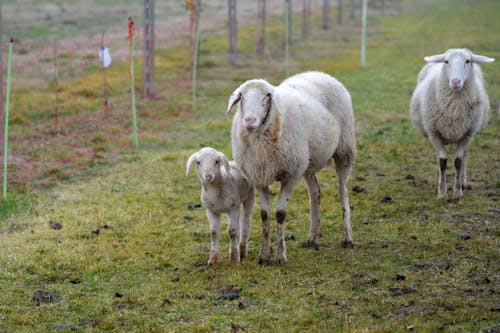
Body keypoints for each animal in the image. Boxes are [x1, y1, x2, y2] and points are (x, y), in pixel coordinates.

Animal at [225, 70, 358, 264]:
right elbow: (265, 214)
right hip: (307, 162)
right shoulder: (259, 176)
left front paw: (280, 255)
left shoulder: (291, 175)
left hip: (344, 149)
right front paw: (264, 256)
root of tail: (321, 73)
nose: (249, 121)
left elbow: (280, 213)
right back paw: (313, 237)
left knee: (343, 192)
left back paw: (347, 237)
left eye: (267, 96)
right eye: (241, 96)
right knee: (315, 192)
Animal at [408, 48, 494, 198]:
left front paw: (458, 192)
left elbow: (458, 161)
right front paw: (442, 193)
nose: (455, 82)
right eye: (446, 61)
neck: (454, 109)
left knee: (464, 156)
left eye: (467, 61)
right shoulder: (434, 134)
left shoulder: (467, 134)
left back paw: (463, 182)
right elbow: (442, 162)